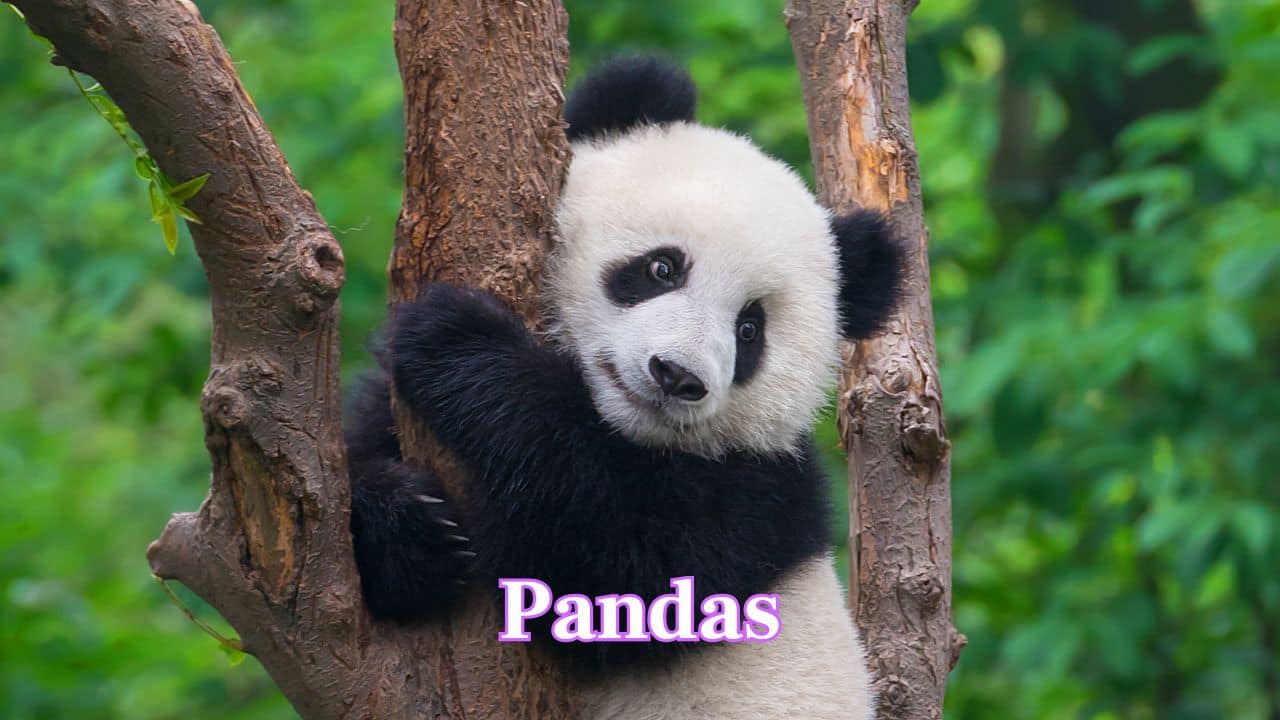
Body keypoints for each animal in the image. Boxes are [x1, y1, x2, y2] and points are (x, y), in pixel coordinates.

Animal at [345, 56, 903, 720]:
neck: (619, 427)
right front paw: (410, 534)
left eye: (749, 329)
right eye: (661, 267)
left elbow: (619, 560)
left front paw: (458, 340)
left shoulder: (758, 498)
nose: (677, 376)